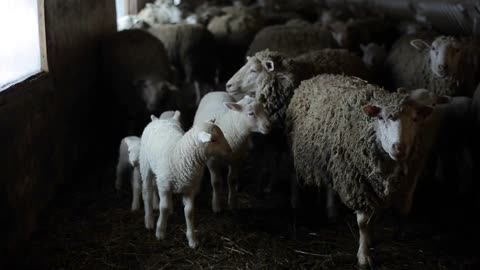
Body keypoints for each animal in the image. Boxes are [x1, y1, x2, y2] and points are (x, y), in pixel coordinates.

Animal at [139, 117, 232, 248]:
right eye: (213, 140)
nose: (230, 150)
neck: (180, 155)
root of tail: (158, 120)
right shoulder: (164, 186)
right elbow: (163, 207)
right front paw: (160, 232)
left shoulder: (189, 188)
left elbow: (189, 211)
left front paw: (192, 239)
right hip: (145, 164)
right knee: (147, 192)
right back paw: (149, 220)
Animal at [284, 74, 442, 268]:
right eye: (380, 117)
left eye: (414, 118)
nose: (399, 148)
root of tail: (318, 76)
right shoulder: (358, 184)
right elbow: (363, 224)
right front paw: (363, 256)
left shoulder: (405, 180)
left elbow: (397, 211)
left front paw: (383, 237)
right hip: (293, 147)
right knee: (292, 174)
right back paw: (295, 202)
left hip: (332, 156)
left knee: (329, 185)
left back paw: (331, 211)